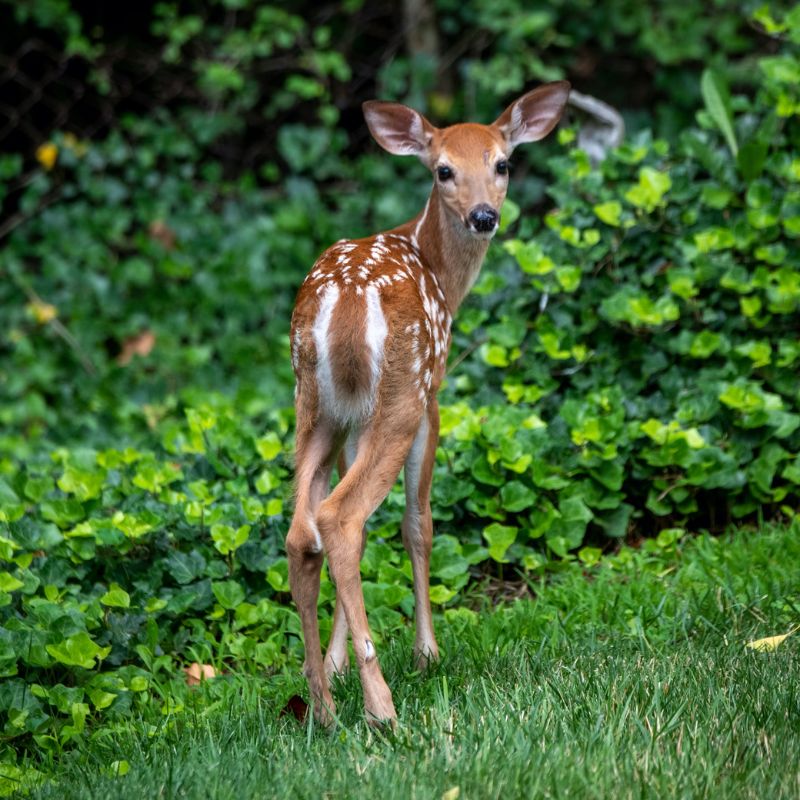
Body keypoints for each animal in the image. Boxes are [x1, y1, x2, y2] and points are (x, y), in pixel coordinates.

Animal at [286, 81, 571, 726]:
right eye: (443, 170)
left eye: (502, 163)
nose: (484, 215)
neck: (437, 268)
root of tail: (344, 303)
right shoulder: (433, 393)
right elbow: (419, 523)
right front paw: (427, 653)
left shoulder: (351, 418)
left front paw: (337, 665)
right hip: (402, 395)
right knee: (341, 518)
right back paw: (381, 706)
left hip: (314, 405)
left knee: (303, 529)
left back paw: (322, 704)